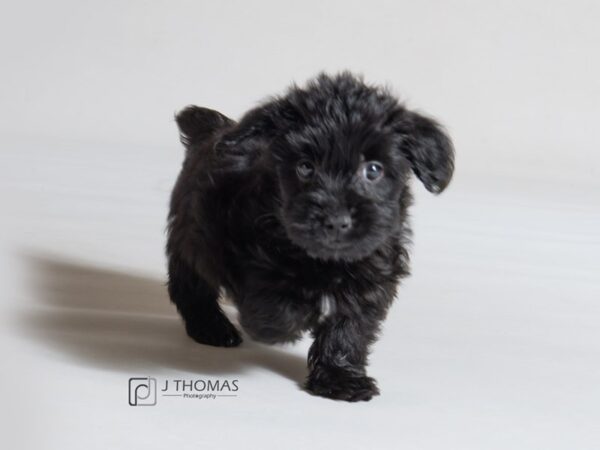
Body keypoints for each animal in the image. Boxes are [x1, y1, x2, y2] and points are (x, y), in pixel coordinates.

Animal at [165, 72, 454, 402]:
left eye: (373, 170)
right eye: (305, 167)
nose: (337, 220)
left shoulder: (369, 279)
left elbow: (348, 329)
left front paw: (340, 378)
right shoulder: (239, 250)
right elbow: (276, 305)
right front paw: (283, 323)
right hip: (190, 237)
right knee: (191, 285)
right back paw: (212, 327)